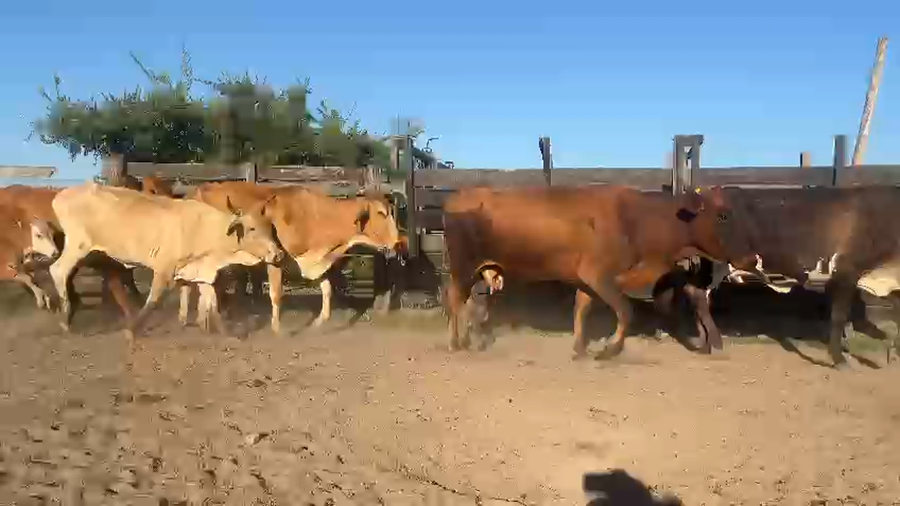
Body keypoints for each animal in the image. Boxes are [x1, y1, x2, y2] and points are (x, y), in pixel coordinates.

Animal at [47, 183, 283, 342]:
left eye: (270, 228)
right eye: (251, 228)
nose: (278, 254)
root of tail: (62, 194)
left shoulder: (203, 271)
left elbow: (213, 302)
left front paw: (227, 333)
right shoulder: (164, 269)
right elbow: (154, 299)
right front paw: (131, 331)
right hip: (78, 246)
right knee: (58, 270)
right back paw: (65, 319)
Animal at [183, 181, 402, 334]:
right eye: (381, 213)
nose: (398, 241)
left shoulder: (312, 262)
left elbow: (327, 290)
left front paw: (319, 323)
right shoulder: (275, 259)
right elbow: (276, 294)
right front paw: (277, 328)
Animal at [442, 185, 759, 359]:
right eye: (723, 215)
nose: (752, 258)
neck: (638, 219)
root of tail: (458, 197)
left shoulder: (587, 280)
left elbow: (581, 309)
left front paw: (580, 349)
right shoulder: (597, 274)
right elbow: (625, 310)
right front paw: (609, 349)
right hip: (463, 266)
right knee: (455, 299)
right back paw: (457, 343)